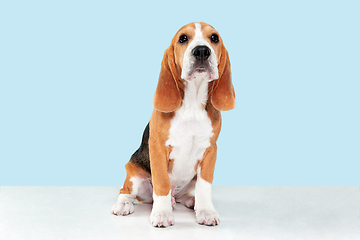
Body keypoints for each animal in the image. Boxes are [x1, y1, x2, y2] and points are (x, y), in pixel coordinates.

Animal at [112, 22, 236, 227]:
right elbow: (162, 183)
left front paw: (206, 211)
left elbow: (205, 185)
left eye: (214, 38)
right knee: (126, 191)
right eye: (183, 38)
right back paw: (124, 204)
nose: (201, 51)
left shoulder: (210, 151)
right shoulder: (158, 149)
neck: (192, 103)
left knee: (181, 195)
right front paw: (162, 213)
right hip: (134, 174)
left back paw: (190, 200)